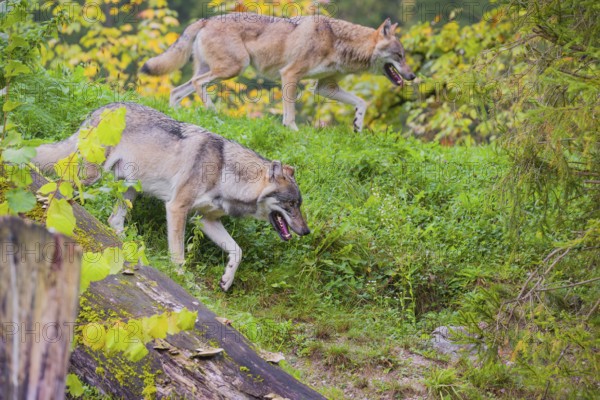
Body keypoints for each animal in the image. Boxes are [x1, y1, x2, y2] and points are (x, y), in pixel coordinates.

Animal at [141, 13, 414, 131]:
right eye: (399, 56)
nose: (412, 76)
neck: (338, 41)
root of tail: (207, 19)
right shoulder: (290, 75)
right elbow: (290, 114)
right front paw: (293, 132)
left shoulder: (325, 88)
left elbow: (362, 102)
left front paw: (357, 125)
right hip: (233, 68)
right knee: (198, 84)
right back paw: (213, 112)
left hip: (218, 70)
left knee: (177, 91)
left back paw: (178, 116)